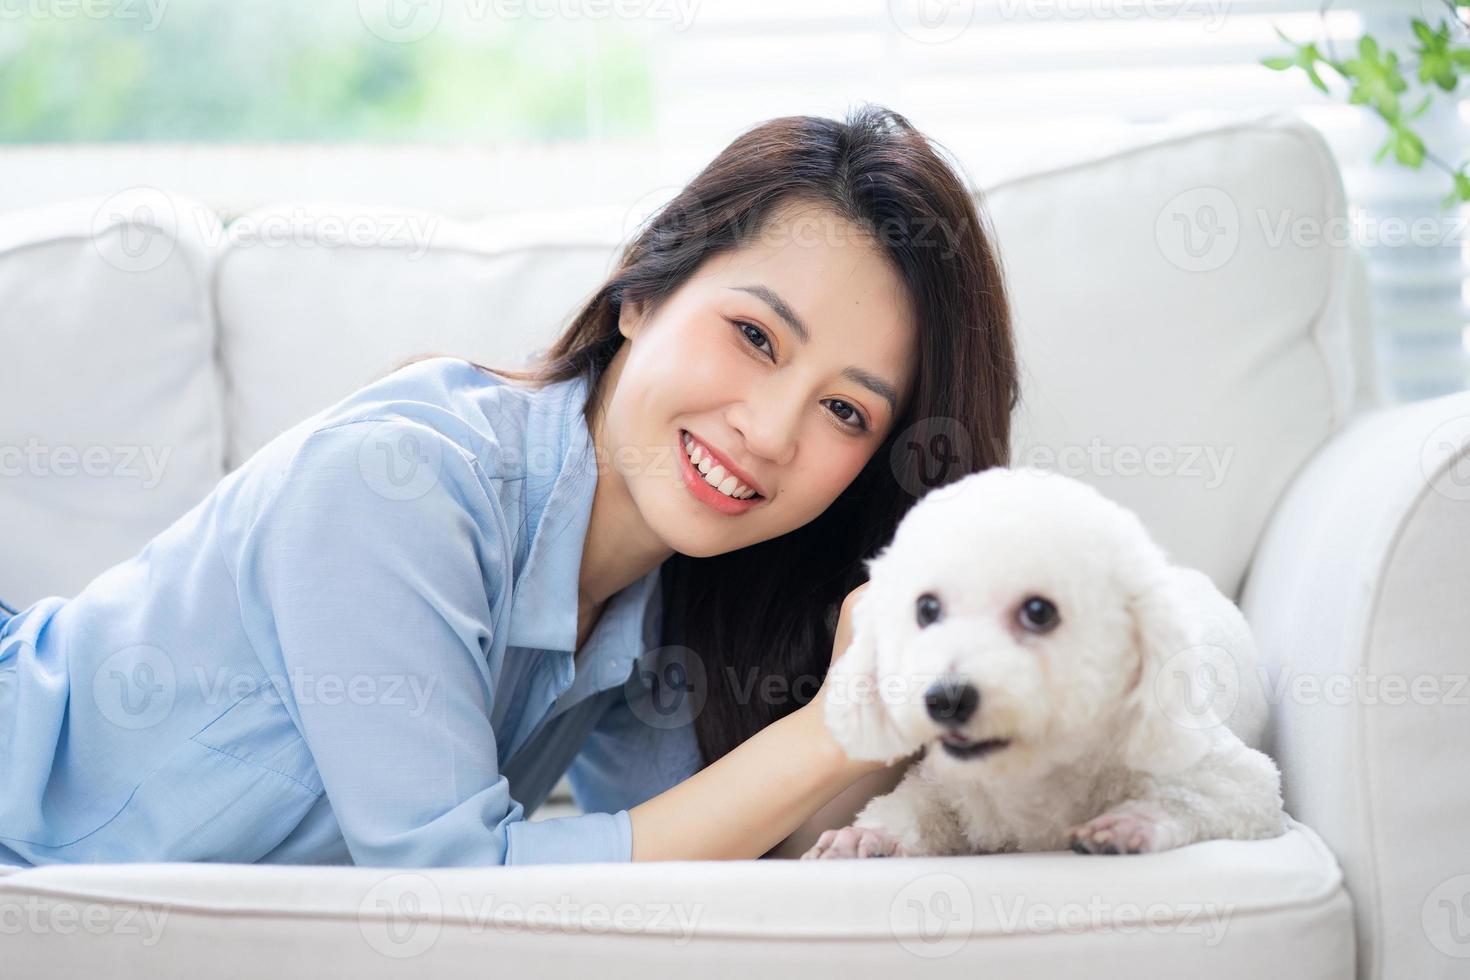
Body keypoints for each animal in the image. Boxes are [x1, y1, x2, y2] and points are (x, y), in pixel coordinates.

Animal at [805, 467, 1287, 858]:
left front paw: (1130, 824)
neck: (1037, 773)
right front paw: (866, 837)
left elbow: (1201, 798)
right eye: (926, 609)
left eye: (1039, 612)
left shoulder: (1242, 785)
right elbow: (912, 811)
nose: (946, 698)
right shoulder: (946, 788)